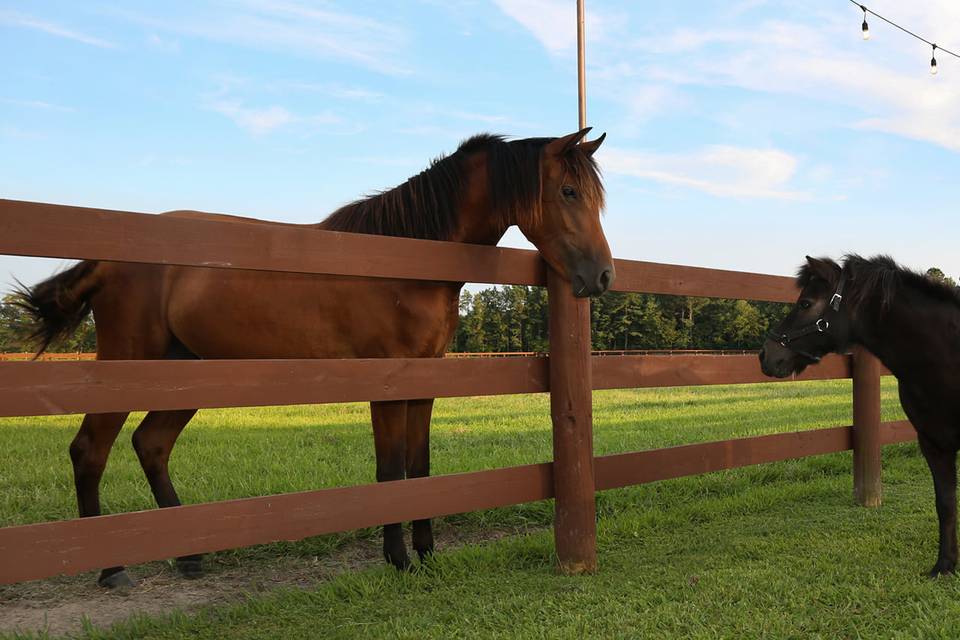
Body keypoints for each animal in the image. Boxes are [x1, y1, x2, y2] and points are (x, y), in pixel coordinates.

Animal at [15, 127, 612, 588]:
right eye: (567, 191)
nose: (602, 276)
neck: (401, 259)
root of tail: (109, 257)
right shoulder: (386, 385)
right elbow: (391, 471)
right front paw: (398, 559)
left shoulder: (425, 382)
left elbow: (420, 468)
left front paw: (426, 552)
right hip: (125, 367)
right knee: (90, 450)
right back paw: (111, 568)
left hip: (186, 373)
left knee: (151, 444)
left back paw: (189, 556)